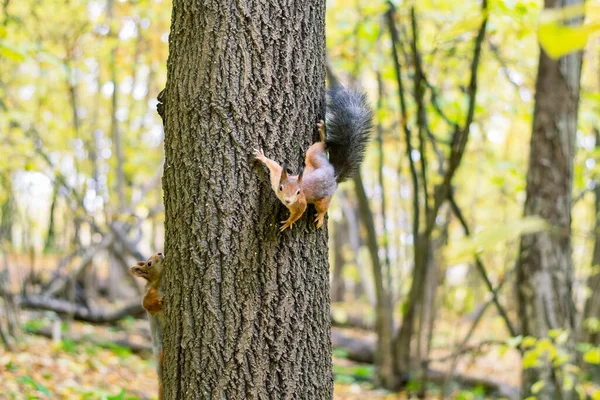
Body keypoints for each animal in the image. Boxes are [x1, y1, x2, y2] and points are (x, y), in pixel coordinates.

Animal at [254, 87, 376, 231]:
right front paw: (261, 157)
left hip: (324, 198)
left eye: (298, 192)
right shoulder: (277, 176)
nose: (288, 201)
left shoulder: (300, 203)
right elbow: (273, 165)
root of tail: (333, 175)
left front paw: (288, 222)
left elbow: (299, 212)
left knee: (323, 207)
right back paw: (322, 132)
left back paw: (320, 217)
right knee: (323, 145)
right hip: (314, 156)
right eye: (281, 188)